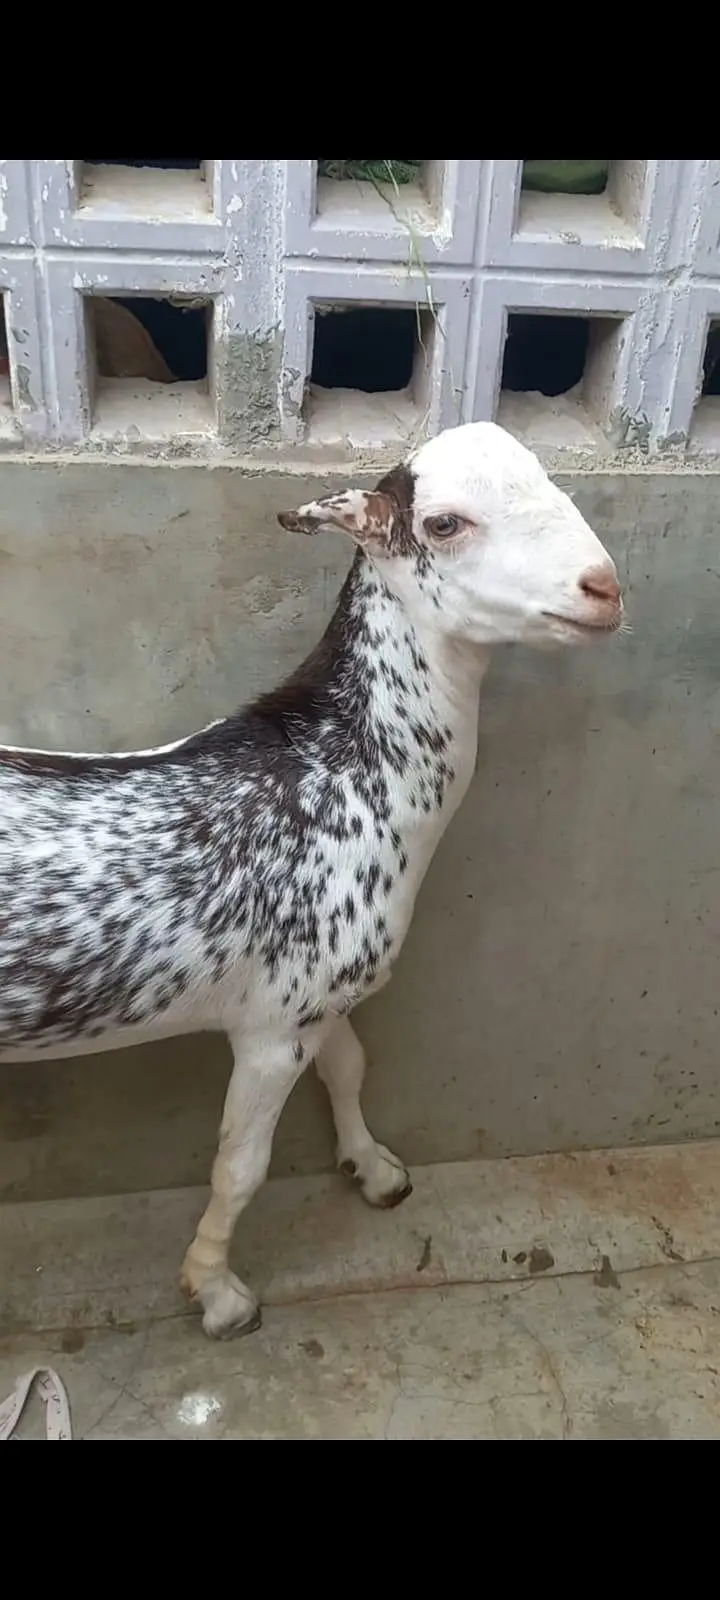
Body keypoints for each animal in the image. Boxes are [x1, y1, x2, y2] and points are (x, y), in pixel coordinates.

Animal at [0, 422, 623, 1338]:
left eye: (550, 478)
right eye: (443, 524)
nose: (603, 587)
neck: (339, 772)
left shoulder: (318, 988)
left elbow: (352, 1065)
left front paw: (376, 1171)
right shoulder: (272, 1024)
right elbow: (241, 1164)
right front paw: (218, 1292)